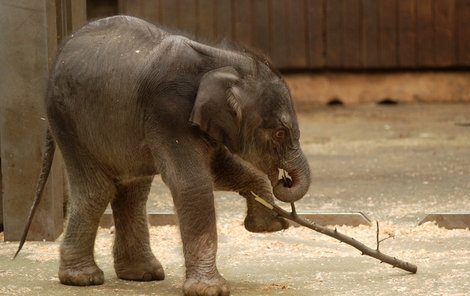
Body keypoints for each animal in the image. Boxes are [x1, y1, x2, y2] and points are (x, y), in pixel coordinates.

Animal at [19, 15, 312, 296]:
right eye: (280, 133)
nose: (284, 180)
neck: (221, 61)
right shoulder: (167, 110)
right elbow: (193, 182)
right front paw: (211, 290)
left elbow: (220, 169)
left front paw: (266, 226)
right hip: (68, 123)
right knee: (97, 191)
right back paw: (83, 279)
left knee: (132, 191)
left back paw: (142, 274)